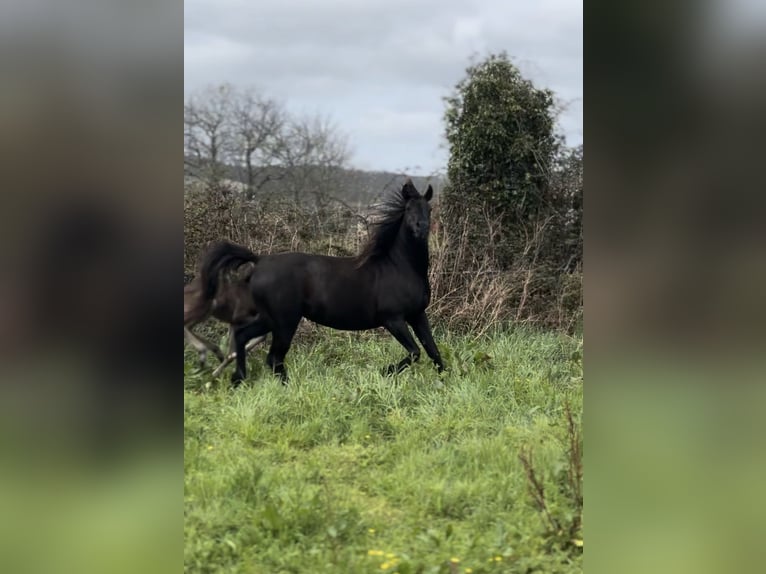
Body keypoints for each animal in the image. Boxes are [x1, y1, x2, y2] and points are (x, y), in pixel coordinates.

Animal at [199, 179, 445, 386]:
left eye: (430, 209)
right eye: (408, 209)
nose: (422, 228)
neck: (399, 266)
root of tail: (259, 261)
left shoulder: (417, 315)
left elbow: (433, 351)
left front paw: (444, 383)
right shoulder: (393, 319)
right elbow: (415, 352)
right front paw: (385, 371)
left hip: (271, 319)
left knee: (244, 337)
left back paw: (238, 379)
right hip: (285, 321)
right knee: (274, 358)